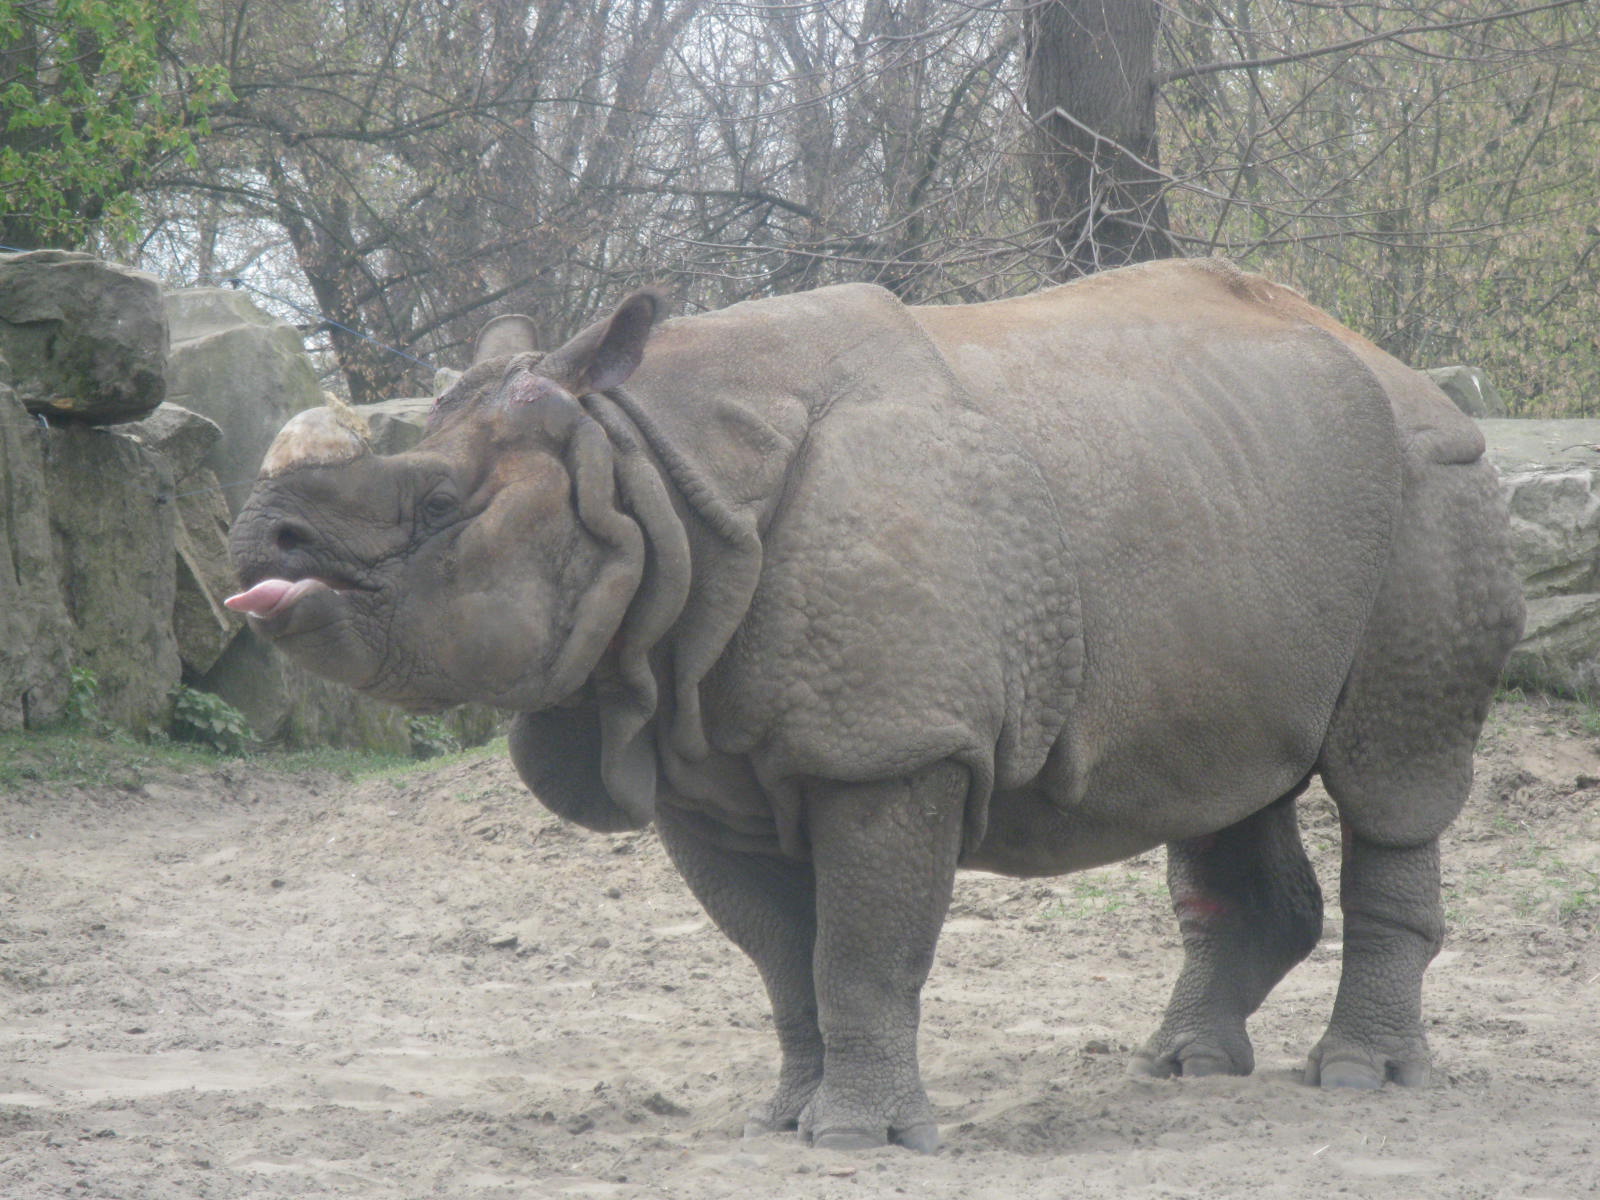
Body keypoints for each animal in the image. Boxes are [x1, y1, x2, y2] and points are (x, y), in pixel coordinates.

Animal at [228, 258, 1523, 1153]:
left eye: (437, 507)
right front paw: (785, 1118)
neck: (647, 472)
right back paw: (1182, 1069)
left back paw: (1357, 1080)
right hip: (1226, 497)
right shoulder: (699, 758)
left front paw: (859, 1140)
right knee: (1220, 777)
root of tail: (1395, 362)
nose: (255, 540)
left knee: (1391, 773)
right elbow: (780, 955)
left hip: (1433, 481)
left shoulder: (890, 747)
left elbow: (861, 945)